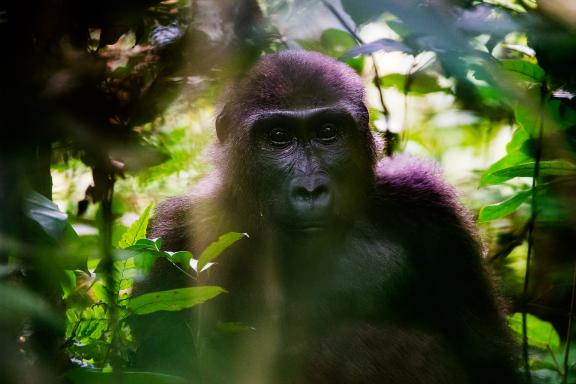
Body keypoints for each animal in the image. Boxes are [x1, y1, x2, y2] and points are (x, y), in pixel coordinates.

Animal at [134, 51, 520, 384]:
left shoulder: (428, 203)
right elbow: (164, 365)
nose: (310, 189)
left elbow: (487, 354)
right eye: (278, 137)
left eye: (327, 133)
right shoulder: (177, 233)